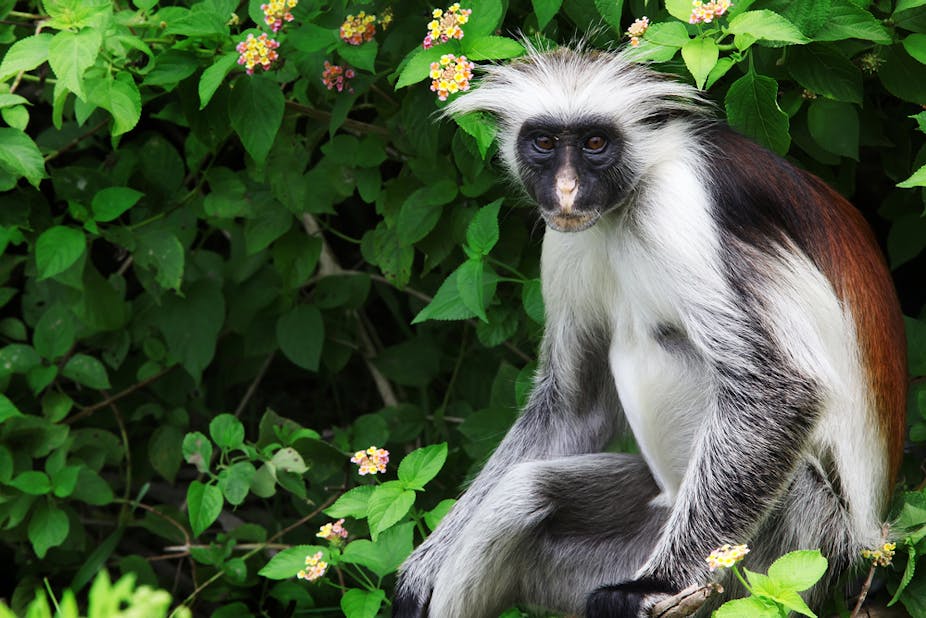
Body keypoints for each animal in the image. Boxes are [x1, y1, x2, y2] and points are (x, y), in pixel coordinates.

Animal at [394, 44, 908, 616]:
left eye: (595, 144)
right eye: (544, 143)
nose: (567, 190)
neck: (630, 199)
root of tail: (868, 543)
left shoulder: (680, 207)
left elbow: (780, 392)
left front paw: (652, 586)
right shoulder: (569, 234)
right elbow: (575, 410)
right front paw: (423, 567)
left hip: (786, 550)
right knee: (527, 488)